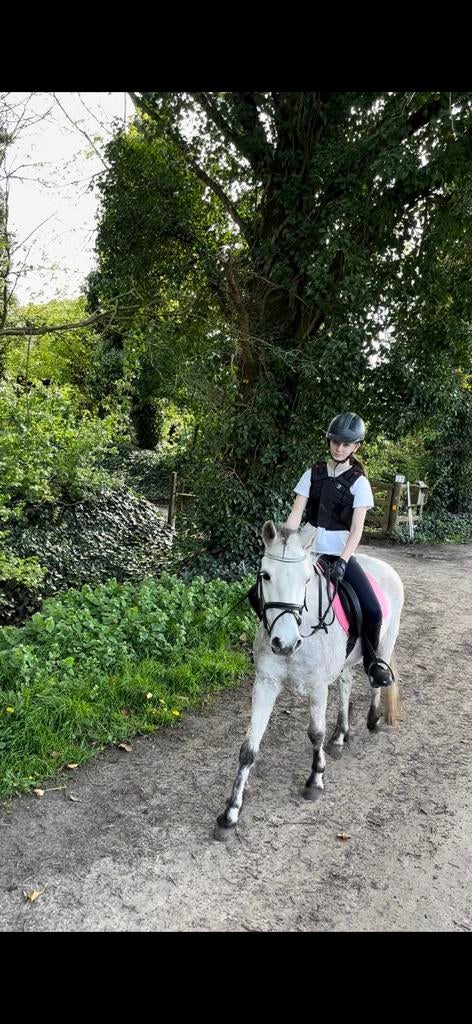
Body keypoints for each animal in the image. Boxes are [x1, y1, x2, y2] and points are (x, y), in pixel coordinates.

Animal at [214, 520, 404, 840]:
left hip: (385, 643)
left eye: (305, 579)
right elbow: (248, 749)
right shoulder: (265, 684)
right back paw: (340, 736)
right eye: (265, 575)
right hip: (344, 663)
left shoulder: (317, 687)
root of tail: (386, 567)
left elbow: (315, 733)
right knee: (346, 685)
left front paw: (315, 781)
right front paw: (230, 814)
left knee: (377, 678)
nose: (285, 643)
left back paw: (373, 718)